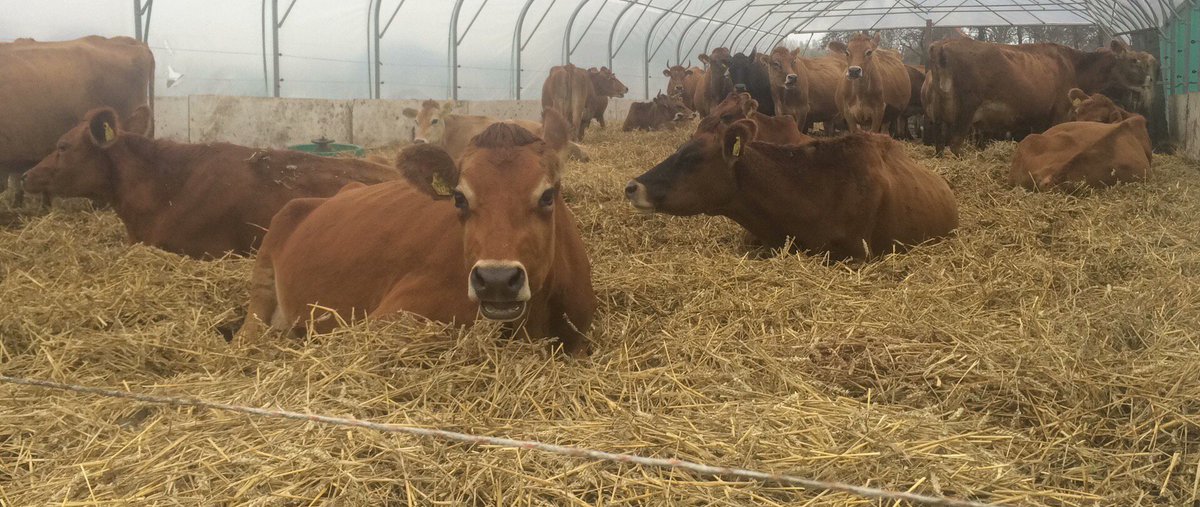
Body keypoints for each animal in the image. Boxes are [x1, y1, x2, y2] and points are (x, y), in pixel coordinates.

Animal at [926, 38, 1157, 155]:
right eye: (1135, 60)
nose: (1151, 82)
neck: (1075, 66)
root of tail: (942, 44)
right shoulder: (1060, 111)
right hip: (966, 110)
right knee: (955, 144)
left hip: (938, 116)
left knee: (939, 145)